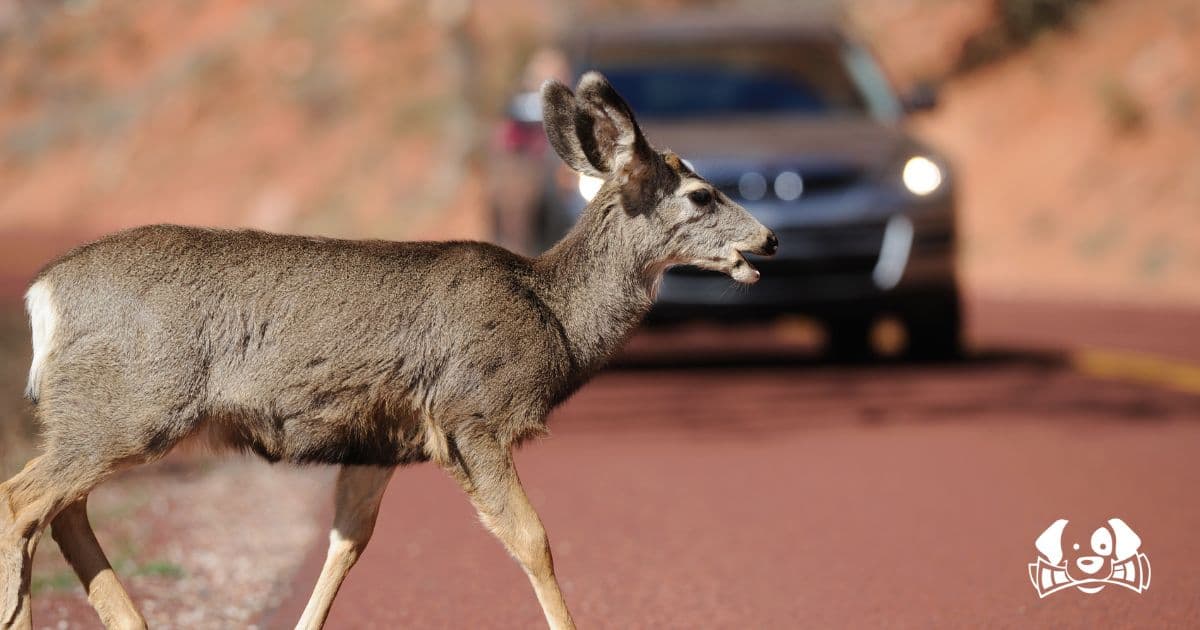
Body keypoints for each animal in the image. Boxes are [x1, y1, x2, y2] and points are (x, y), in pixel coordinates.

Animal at [0, 72, 776, 630]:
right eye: (702, 195)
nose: (768, 240)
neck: (552, 313)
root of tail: (42, 293)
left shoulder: (380, 440)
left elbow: (347, 545)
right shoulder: (471, 413)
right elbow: (534, 539)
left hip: (102, 414)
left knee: (61, 511)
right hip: (131, 404)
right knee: (22, 498)